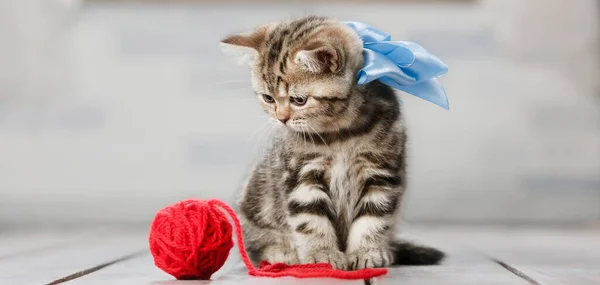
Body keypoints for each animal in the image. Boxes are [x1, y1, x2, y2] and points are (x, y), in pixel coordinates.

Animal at [219, 15, 440, 268]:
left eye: (299, 100)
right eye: (268, 98)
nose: (281, 118)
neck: (341, 132)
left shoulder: (381, 172)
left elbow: (374, 217)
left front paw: (367, 251)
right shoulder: (301, 174)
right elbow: (310, 219)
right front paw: (321, 253)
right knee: (257, 245)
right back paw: (281, 252)